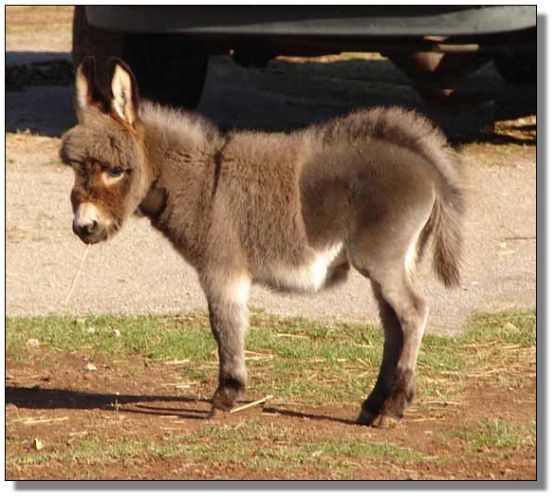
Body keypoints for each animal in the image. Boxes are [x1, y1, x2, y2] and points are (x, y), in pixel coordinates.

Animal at [60, 57, 464, 426]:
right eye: (75, 168)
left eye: (116, 171)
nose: (84, 227)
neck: (203, 183)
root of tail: (429, 168)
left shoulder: (221, 266)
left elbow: (224, 325)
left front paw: (226, 396)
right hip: (391, 262)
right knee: (394, 325)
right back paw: (373, 406)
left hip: (381, 259)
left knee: (413, 313)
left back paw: (393, 409)